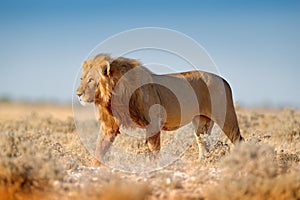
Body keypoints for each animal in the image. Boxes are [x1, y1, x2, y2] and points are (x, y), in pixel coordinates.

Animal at [76, 53, 243, 164]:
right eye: (82, 79)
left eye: (91, 80)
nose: (78, 94)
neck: (113, 95)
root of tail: (224, 80)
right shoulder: (109, 125)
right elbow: (100, 147)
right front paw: (94, 167)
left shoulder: (153, 122)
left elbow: (153, 148)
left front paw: (153, 165)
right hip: (202, 122)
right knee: (203, 142)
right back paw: (202, 162)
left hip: (226, 116)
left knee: (238, 139)